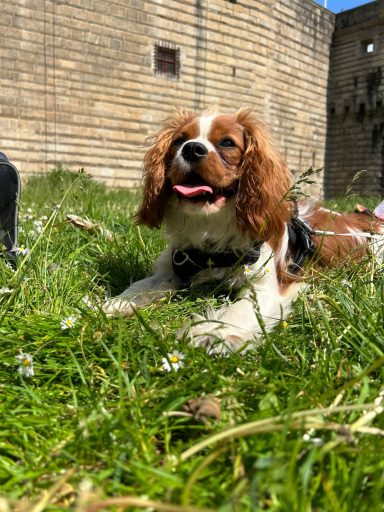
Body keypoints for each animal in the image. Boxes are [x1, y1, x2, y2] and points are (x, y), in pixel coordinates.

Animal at [103, 107, 384, 356]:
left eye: (227, 143)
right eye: (179, 141)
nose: (192, 148)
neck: (211, 227)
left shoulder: (268, 287)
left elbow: (240, 310)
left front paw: (213, 334)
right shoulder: (174, 267)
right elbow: (142, 285)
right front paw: (117, 303)